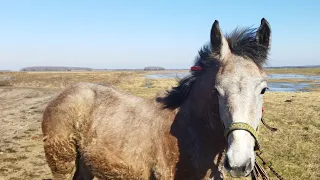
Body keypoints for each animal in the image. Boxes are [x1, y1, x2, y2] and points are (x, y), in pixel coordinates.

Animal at [42, 17, 272, 179]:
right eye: (216, 91)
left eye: (263, 89)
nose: (238, 163)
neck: (191, 133)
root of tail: (61, 96)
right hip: (63, 166)